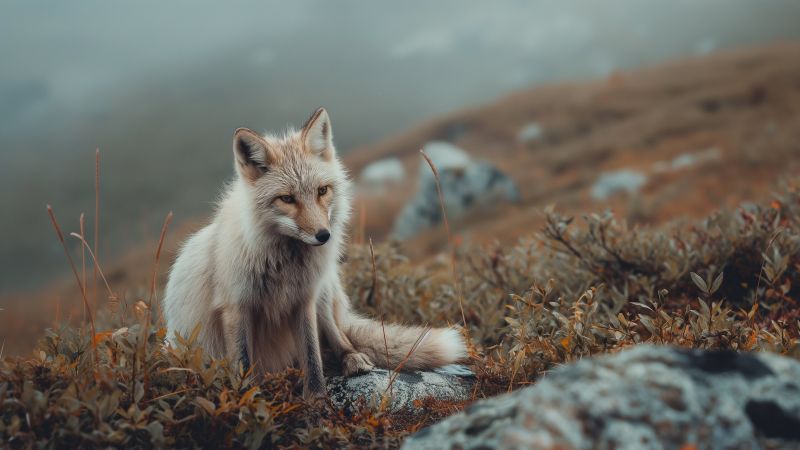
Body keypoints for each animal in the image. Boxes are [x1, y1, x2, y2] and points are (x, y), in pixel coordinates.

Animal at [162, 108, 467, 398]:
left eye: (322, 191)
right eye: (287, 199)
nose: (323, 235)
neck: (283, 266)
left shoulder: (304, 299)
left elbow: (312, 355)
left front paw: (317, 399)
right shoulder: (236, 306)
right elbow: (243, 363)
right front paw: (246, 398)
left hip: (325, 290)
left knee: (337, 334)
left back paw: (353, 358)